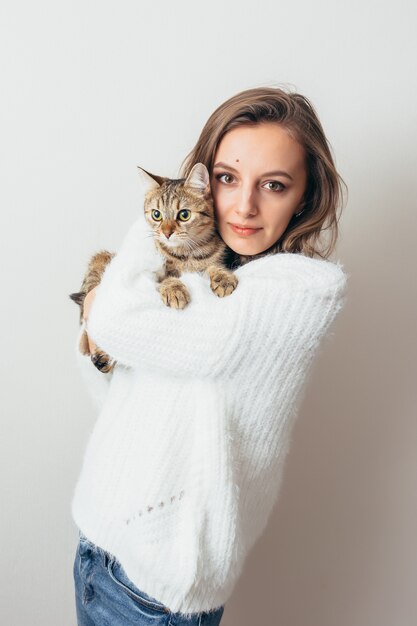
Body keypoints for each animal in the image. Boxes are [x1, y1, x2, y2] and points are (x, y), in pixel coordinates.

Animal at [68, 163, 237, 372]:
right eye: (157, 215)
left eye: (184, 214)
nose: (166, 233)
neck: (188, 254)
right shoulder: (158, 272)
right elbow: (168, 279)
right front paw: (174, 290)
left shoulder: (212, 261)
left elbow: (212, 266)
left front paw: (223, 278)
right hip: (99, 260)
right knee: (87, 321)